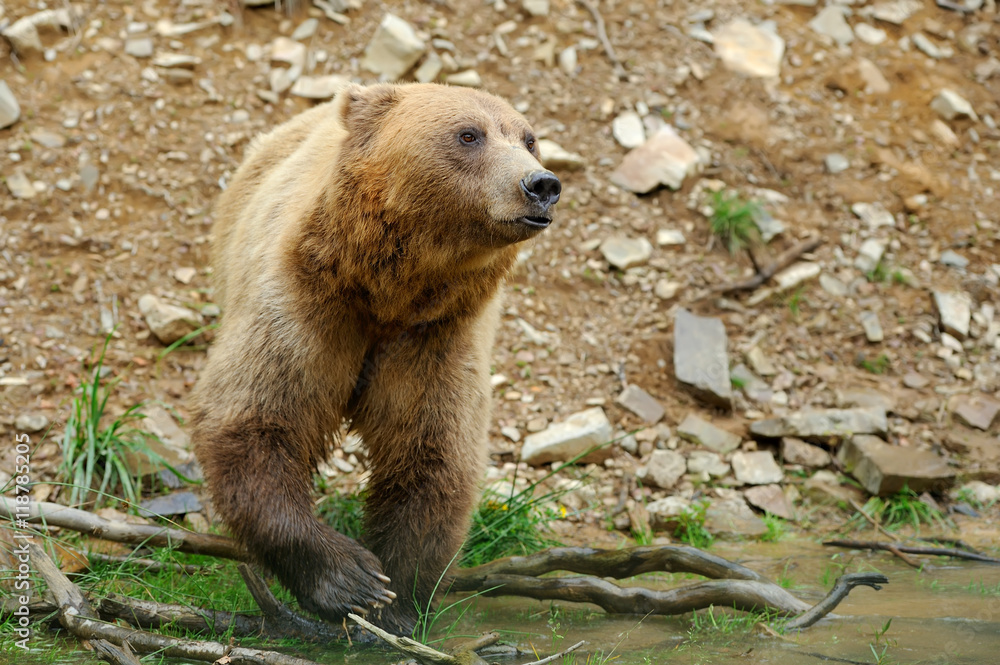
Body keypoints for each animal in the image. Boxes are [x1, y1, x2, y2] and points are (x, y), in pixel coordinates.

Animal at [190, 82, 560, 635]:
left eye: (529, 138)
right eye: (468, 134)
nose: (541, 184)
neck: (388, 292)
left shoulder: (436, 338)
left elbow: (433, 454)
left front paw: (397, 601)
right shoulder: (305, 309)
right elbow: (252, 421)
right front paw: (352, 580)